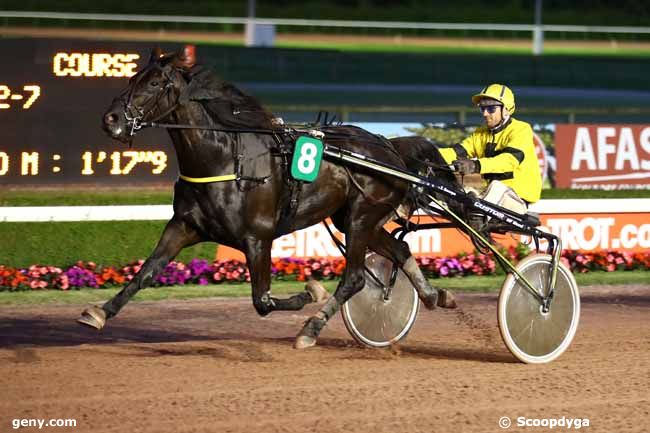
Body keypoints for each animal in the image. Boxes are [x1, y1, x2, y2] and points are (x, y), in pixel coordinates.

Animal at [78, 48, 456, 348]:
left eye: (155, 84)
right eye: (132, 78)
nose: (110, 119)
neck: (224, 160)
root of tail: (389, 146)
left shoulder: (257, 237)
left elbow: (262, 300)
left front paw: (310, 293)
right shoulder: (184, 225)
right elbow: (146, 272)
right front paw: (99, 312)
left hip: (362, 217)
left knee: (355, 278)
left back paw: (310, 329)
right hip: (353, 219)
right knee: (400, 249)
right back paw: (435, 295)